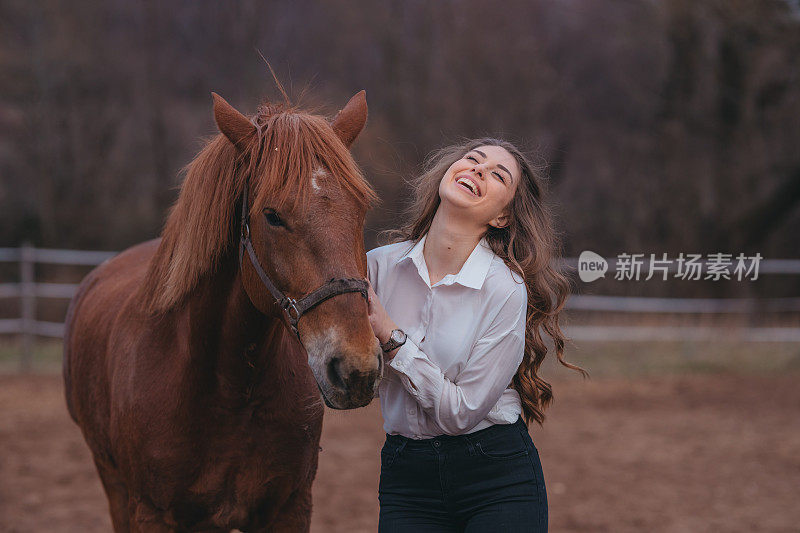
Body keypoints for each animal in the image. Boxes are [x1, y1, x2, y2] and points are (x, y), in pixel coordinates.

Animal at [64, 89, 382, 528]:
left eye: (361, 208)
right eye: (272, 216)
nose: (356, 368)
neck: (228, 389)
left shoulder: (290, 507)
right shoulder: (151, 513)